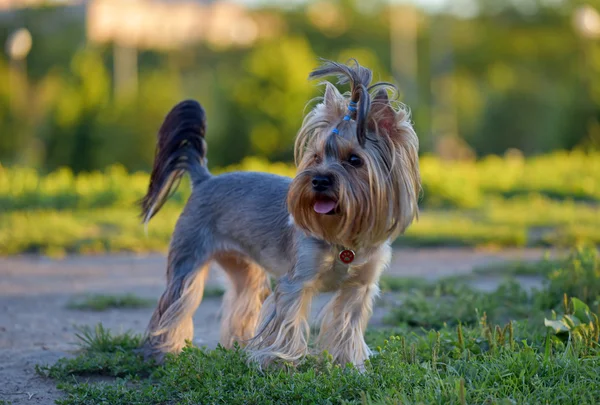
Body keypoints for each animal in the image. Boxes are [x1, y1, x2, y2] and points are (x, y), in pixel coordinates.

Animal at [141, 58, 422, 368]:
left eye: (354, 160)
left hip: (244, 267)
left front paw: (349, 364)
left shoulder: (359, 287)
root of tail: (204, 179)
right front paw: (280, 362)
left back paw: (236, 346)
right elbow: (287, 321)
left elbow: (347, 324)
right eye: (316, 157)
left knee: (243, 298)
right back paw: (165, 351)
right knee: (177, 302)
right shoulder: (296, 280)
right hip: (189, 255)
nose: (319, 180)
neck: (344, 234)